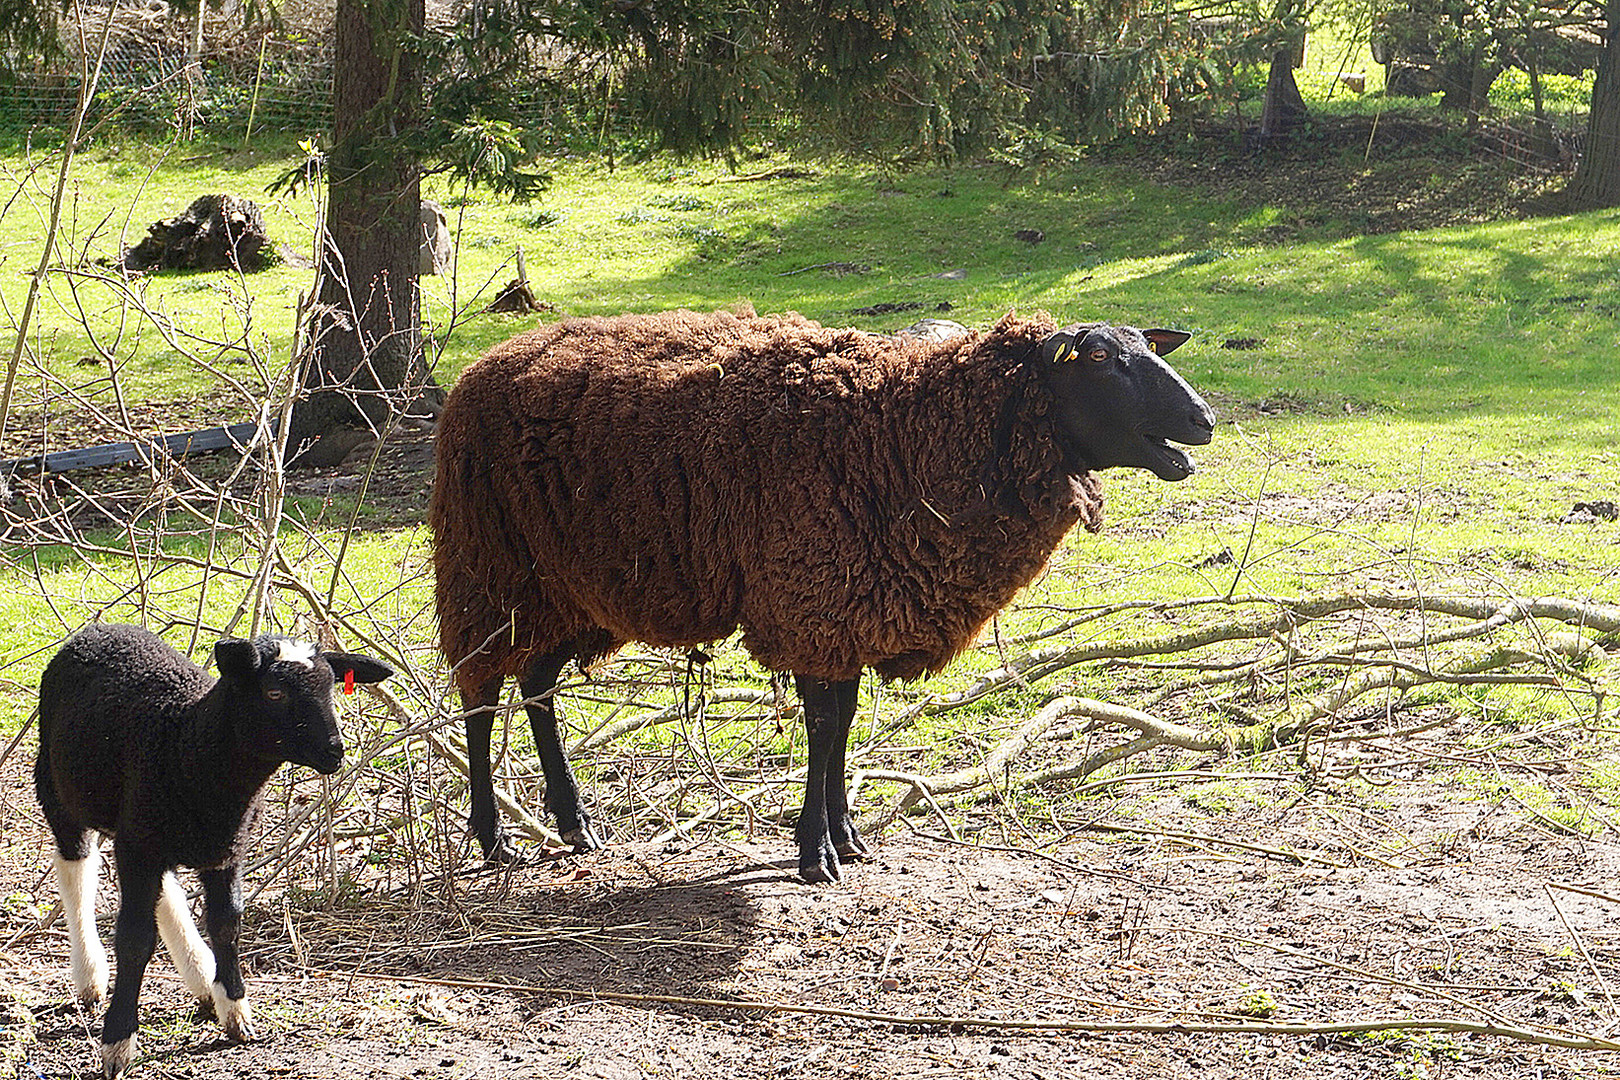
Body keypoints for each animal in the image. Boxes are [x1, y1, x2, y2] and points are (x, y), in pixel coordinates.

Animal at [32, 621, 392, 1075]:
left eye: (332, 687)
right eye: (274, 692)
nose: (334, 751)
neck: (188, 744)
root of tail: (101, 629)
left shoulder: (226, 848)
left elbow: (226, 923)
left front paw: (235, 1011)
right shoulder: (141, 847)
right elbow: (134, 940)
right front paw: (118, 1042)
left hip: (148, 830)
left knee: (165, 890)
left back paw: (201, 976)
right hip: (60, 791)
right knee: (76, 868)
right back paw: (91, 976)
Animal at [430, 307, 1218, 880]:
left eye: (1148, 348)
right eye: (1104, 361)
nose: (1203, 419)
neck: (899, 436)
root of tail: (482, 366)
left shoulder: (851, 605)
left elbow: (842, 723)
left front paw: (848, 834)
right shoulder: (809, 595)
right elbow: (821, 722)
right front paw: (817, 851)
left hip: (571, 587)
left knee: (537, 682)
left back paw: (575, 824)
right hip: (486, 565)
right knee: (480, 692)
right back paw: (493, 839)